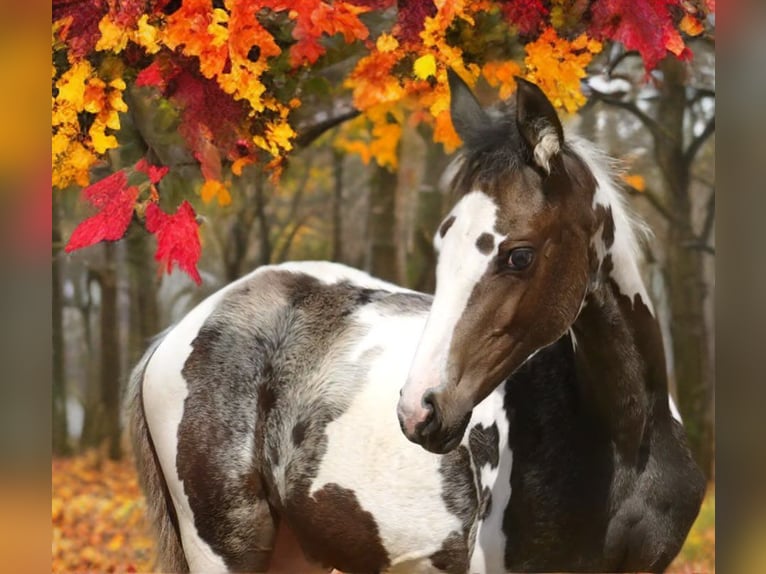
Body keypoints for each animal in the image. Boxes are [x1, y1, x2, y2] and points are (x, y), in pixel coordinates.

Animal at [127, 73, 708, 574]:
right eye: (443, 240)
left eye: (519, 255)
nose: (419, 411)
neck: (626, 442)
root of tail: (175, 336)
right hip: (226, 549)